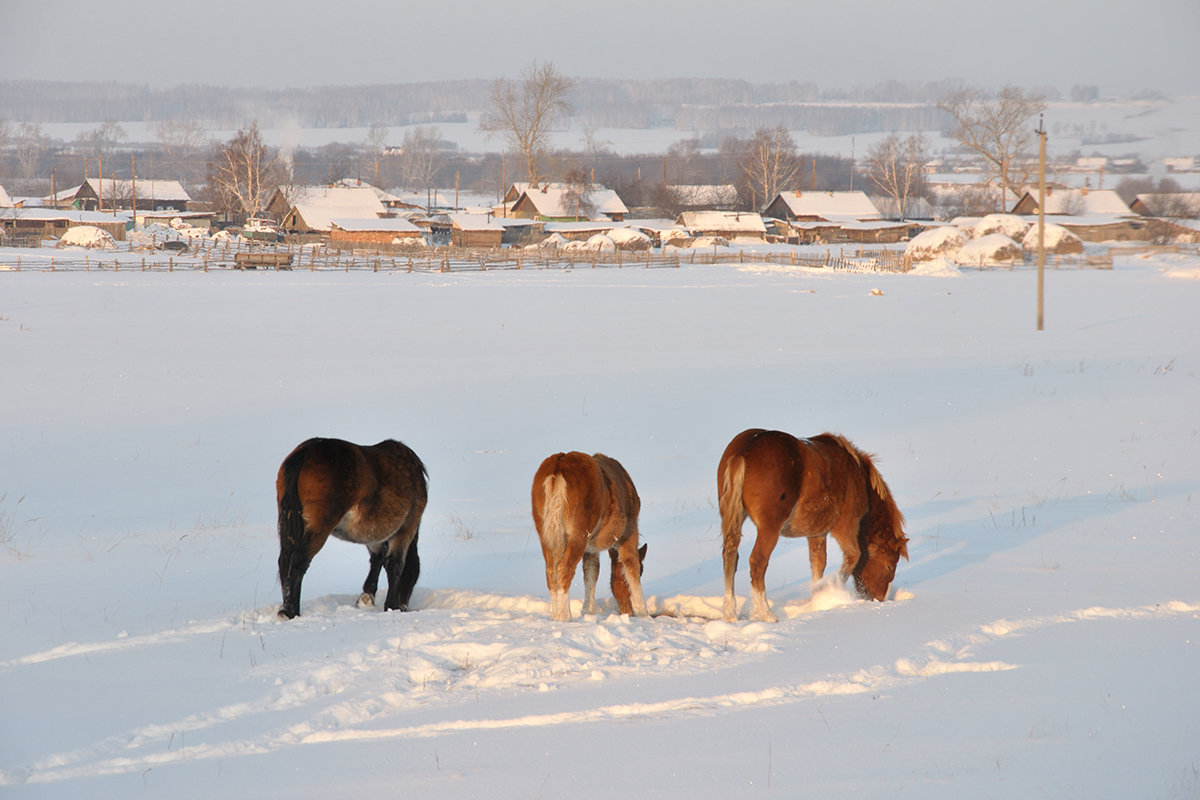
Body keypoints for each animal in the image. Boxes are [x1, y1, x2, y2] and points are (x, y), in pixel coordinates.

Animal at [274, 438, 427, 618]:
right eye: (413, 578)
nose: (404, 606)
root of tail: (304, 452)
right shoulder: (406, 529)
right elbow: (394, 565)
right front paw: (392, 605)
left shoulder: (374, 533)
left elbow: (377, 559)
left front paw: (367, 597)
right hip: (319, 528)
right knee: (298, 561)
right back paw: (290, 611)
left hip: (288, 525)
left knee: (284, 560)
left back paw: (286, 607)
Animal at [532, 453, 648, 623]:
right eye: (643, 571)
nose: (628, 611)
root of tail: (559, 466)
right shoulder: (629, 534)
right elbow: (631, 567)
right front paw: (644, 613)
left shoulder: (591, 548)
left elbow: (591, 574)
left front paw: (588, 610)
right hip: (577, 537)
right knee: (564, 568)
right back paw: (565, 616)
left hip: (546, 535)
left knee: (551, 571)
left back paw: (555, 615)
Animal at [715, 429, 902, 623]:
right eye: (890, 566)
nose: (879, 599)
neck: (857, 476)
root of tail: (745, 450)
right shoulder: (846, 526)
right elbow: (852, 556)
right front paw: (830, 591)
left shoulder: (817, 533)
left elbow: (818, 563)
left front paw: (817, 599)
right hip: (769, 528)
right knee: (757, 562)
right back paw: (767, 613)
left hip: (735, 520)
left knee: (730, 556)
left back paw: (730, 613)